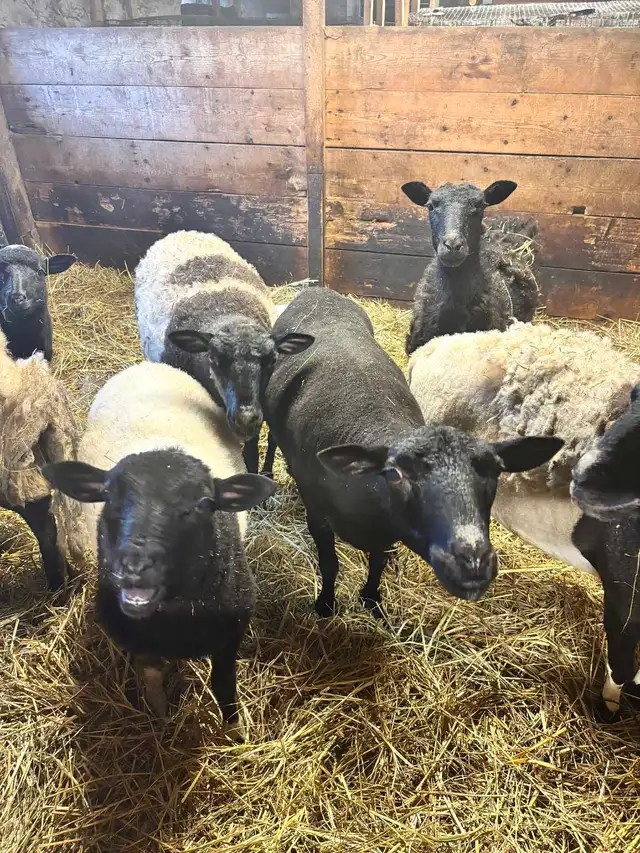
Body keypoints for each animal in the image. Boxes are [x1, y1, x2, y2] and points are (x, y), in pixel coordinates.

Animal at [44, 361, 276, 737]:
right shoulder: (137, 639)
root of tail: (147, 364)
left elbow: (224, 685)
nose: (134, 567)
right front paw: (161, 718)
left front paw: (235, 731)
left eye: (202, 504)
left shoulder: (231, 633)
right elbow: (152, 679)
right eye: (108, 497)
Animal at [134, 231, 313, 472]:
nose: (245, 418)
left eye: (273, 360)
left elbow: (252, 453)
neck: (228, 315)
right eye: (213, 359)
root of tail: (182, 233)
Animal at [264, 288, 561, 618]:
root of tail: (319, 290)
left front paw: (372, 599)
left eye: (494, 472)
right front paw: (326, 605)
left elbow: (378, 561)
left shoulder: (384, 530)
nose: (472, 564)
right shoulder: (317, 512)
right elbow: (329, 564)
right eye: (395, 475)